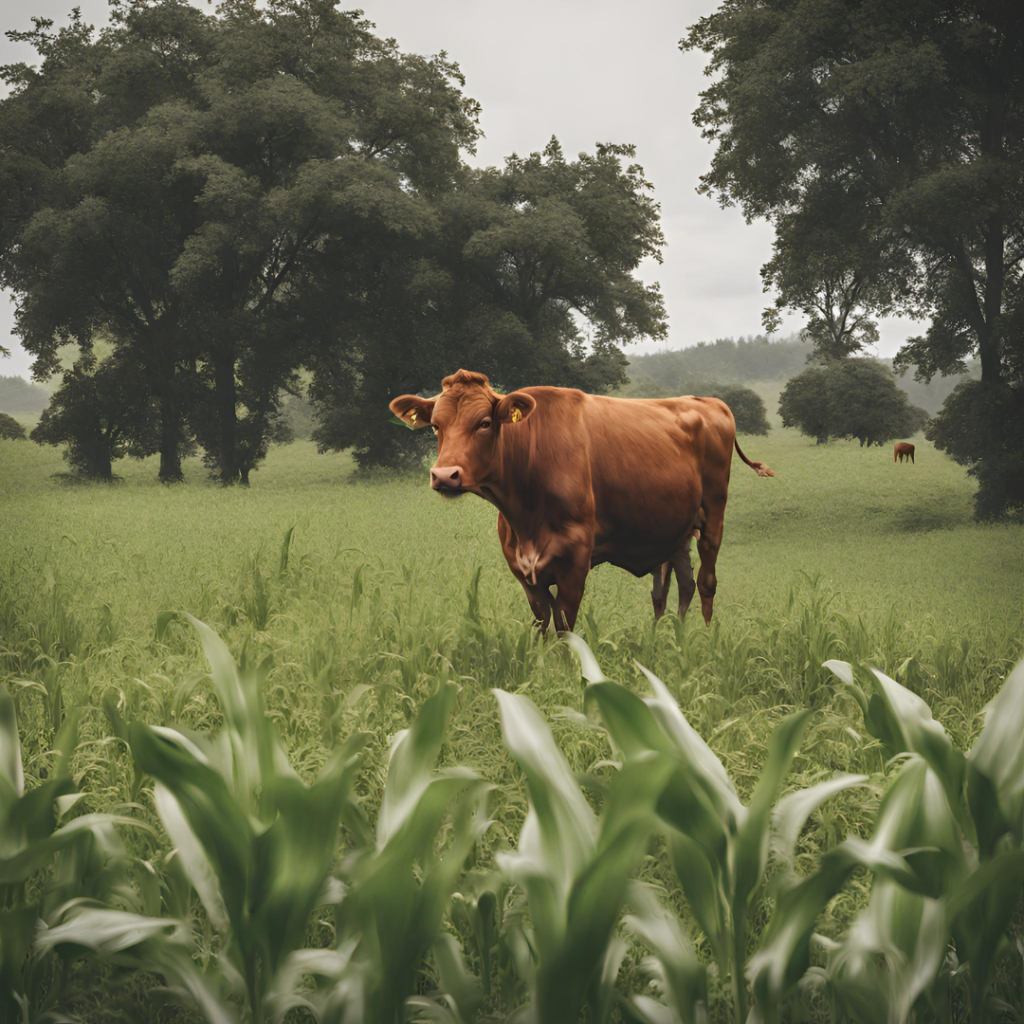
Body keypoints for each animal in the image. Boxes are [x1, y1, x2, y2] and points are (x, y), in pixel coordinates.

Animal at [387, 370, 770, 630]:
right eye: (436, 426)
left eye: (483, 422)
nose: (444, 475)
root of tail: (708, 401)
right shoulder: (524, 569)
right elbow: (544, 621)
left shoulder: (574, 560)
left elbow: (564, 626)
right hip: (676, 529)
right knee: (677, 586)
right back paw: (669, 636)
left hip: (713, 516)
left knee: (706, 582)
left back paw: (702, 638)